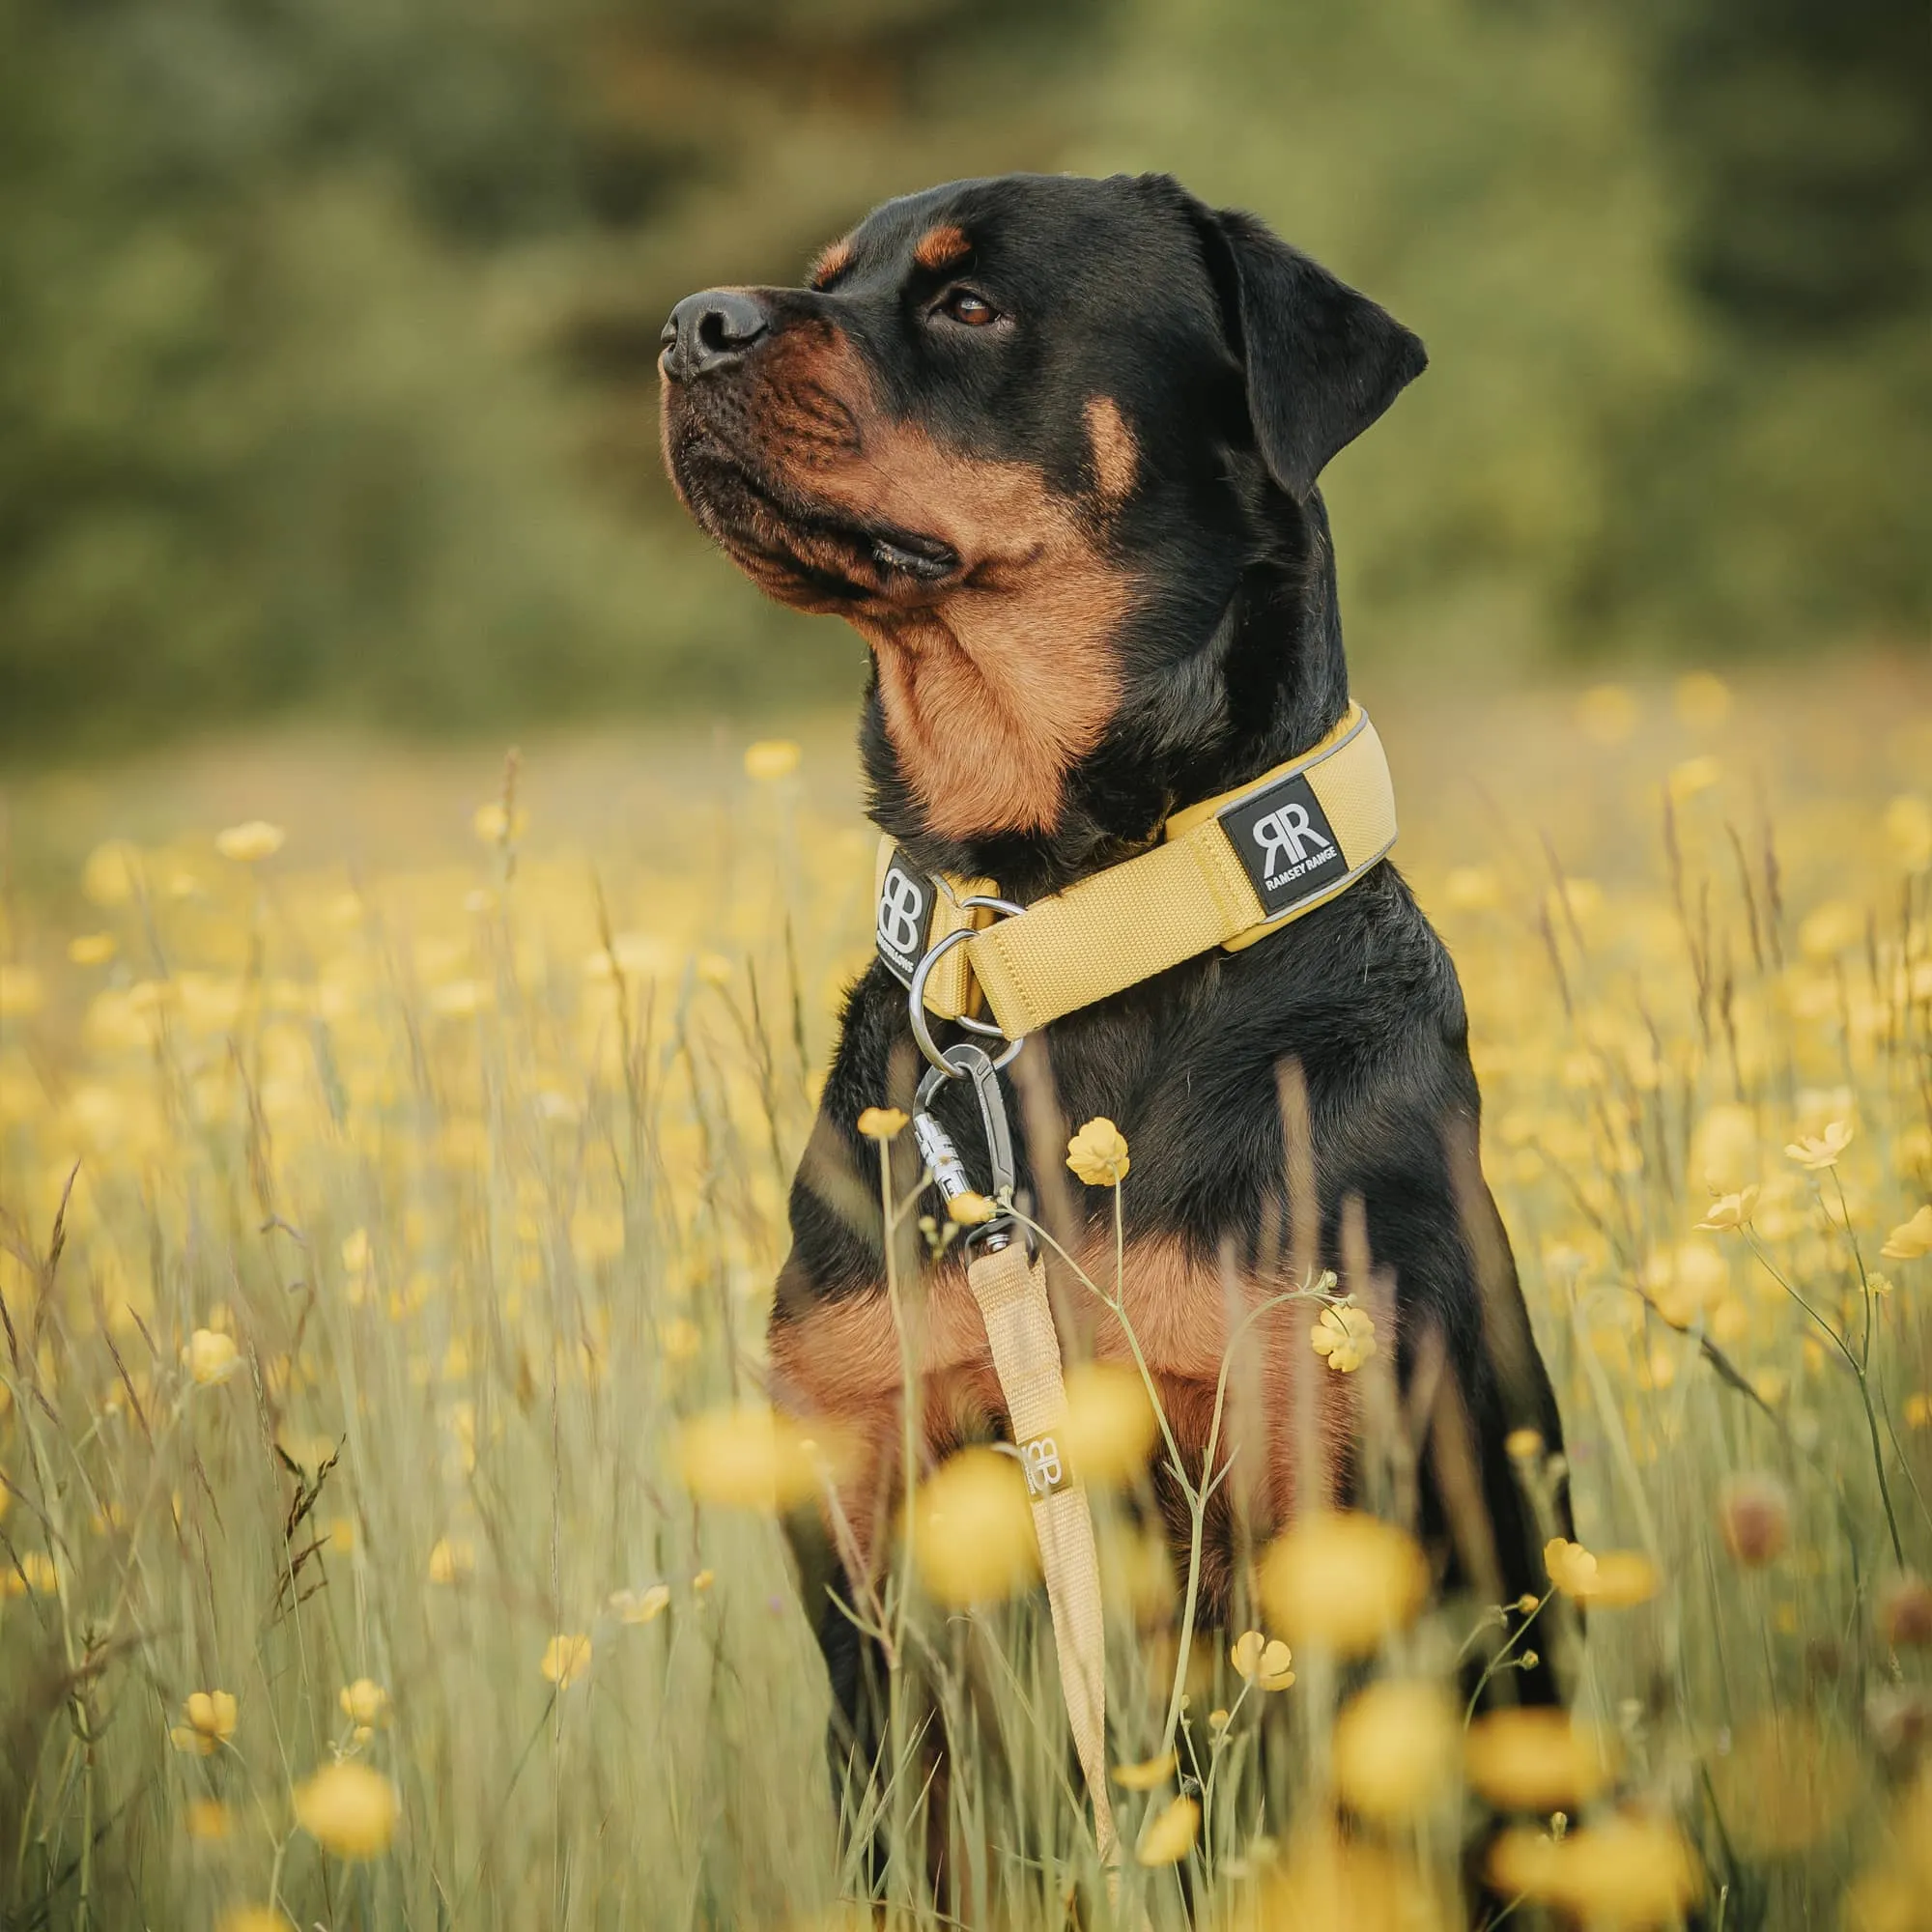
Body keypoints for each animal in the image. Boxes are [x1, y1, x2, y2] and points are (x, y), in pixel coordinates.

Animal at [665, 170, 1569, 1855]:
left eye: (969, 303)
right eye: (833, 273)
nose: (693, 325)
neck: (1054, 934)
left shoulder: (1319, 1519)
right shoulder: (879, 1574)